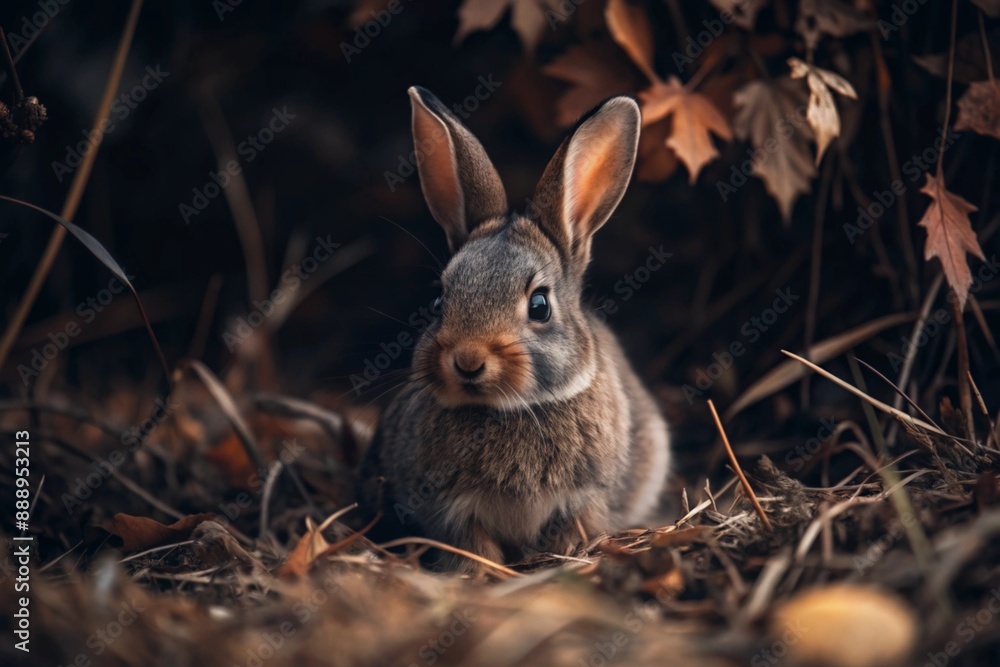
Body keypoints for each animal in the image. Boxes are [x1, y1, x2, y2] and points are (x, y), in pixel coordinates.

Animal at [357, 86, 671, 571]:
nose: (467, 359)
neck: (507, 409)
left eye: (539, 306)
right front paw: (483, 575)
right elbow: (473, 547)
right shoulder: (452, 510)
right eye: (439, 300)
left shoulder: (585, 499)